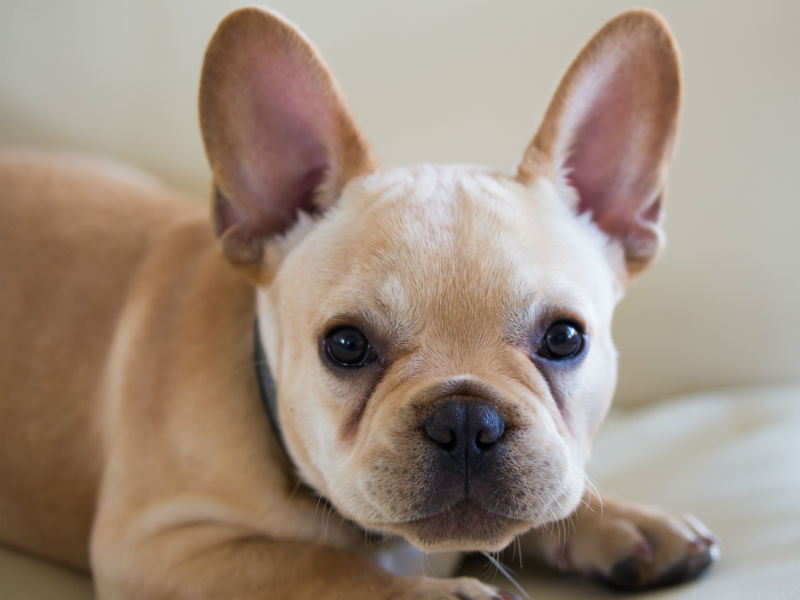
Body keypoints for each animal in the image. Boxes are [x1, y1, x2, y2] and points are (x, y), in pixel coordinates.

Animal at [0, 5, 720, 600]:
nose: (467, 419)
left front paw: (627, 520)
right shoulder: (158, 549)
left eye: (566, 339)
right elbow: (321, 568)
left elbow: (555, 500)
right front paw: (444, 596)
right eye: (345, 346)